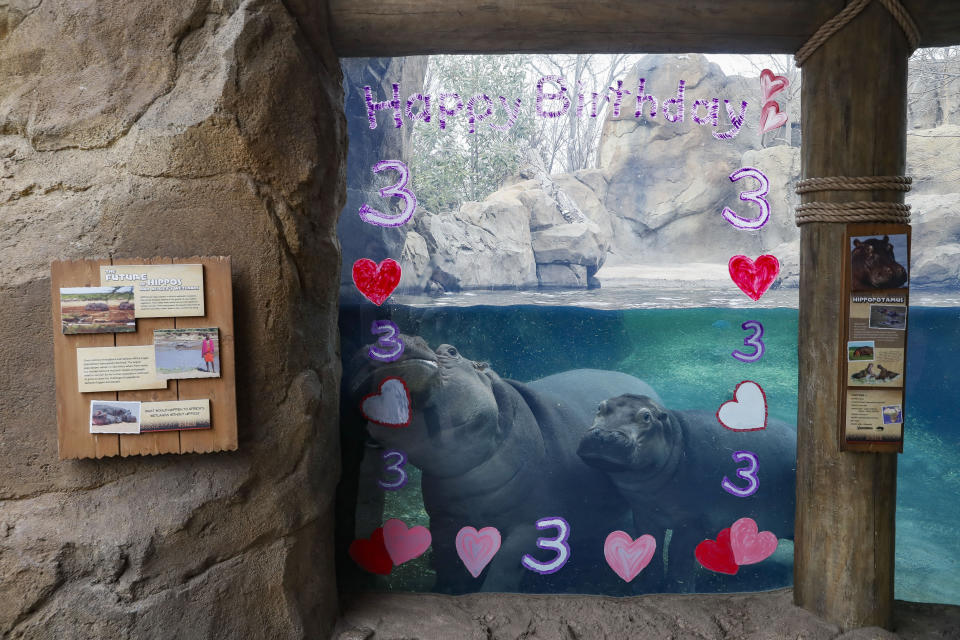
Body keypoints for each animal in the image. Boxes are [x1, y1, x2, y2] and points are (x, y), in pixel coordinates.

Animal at [350, 338, 660, 592]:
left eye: (451, 350)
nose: (392, 340)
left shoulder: (532, 525)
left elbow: (505, 566)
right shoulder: (443, 518)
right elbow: (449, 558)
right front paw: (446, 588)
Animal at [576, 392, 796, 592]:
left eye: (646, 416)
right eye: (600, 406)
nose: (604, 435)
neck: (676, 437)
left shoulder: (692, 521)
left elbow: (678, 555)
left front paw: (676, 591)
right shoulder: (644, 514)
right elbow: (651, 549)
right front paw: (644, 588)